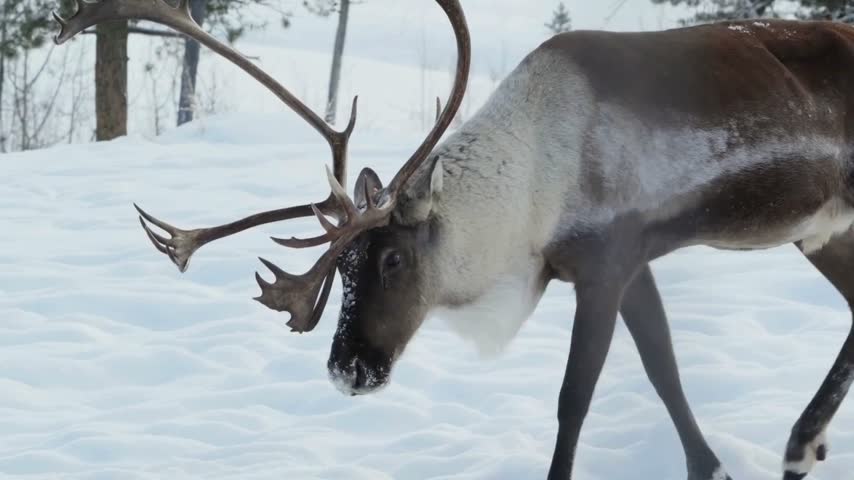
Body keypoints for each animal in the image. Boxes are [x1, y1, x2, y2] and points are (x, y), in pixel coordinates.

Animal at [53, 1, 854, 479]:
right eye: (342, 272)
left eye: (393, 257)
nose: (348, 371)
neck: (530, 191)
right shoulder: (624, 267)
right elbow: (664, 370)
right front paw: (709, 466)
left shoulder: (607, 262)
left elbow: (577, 397)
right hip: (823, 231)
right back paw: (803, 441)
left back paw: (803, 440)